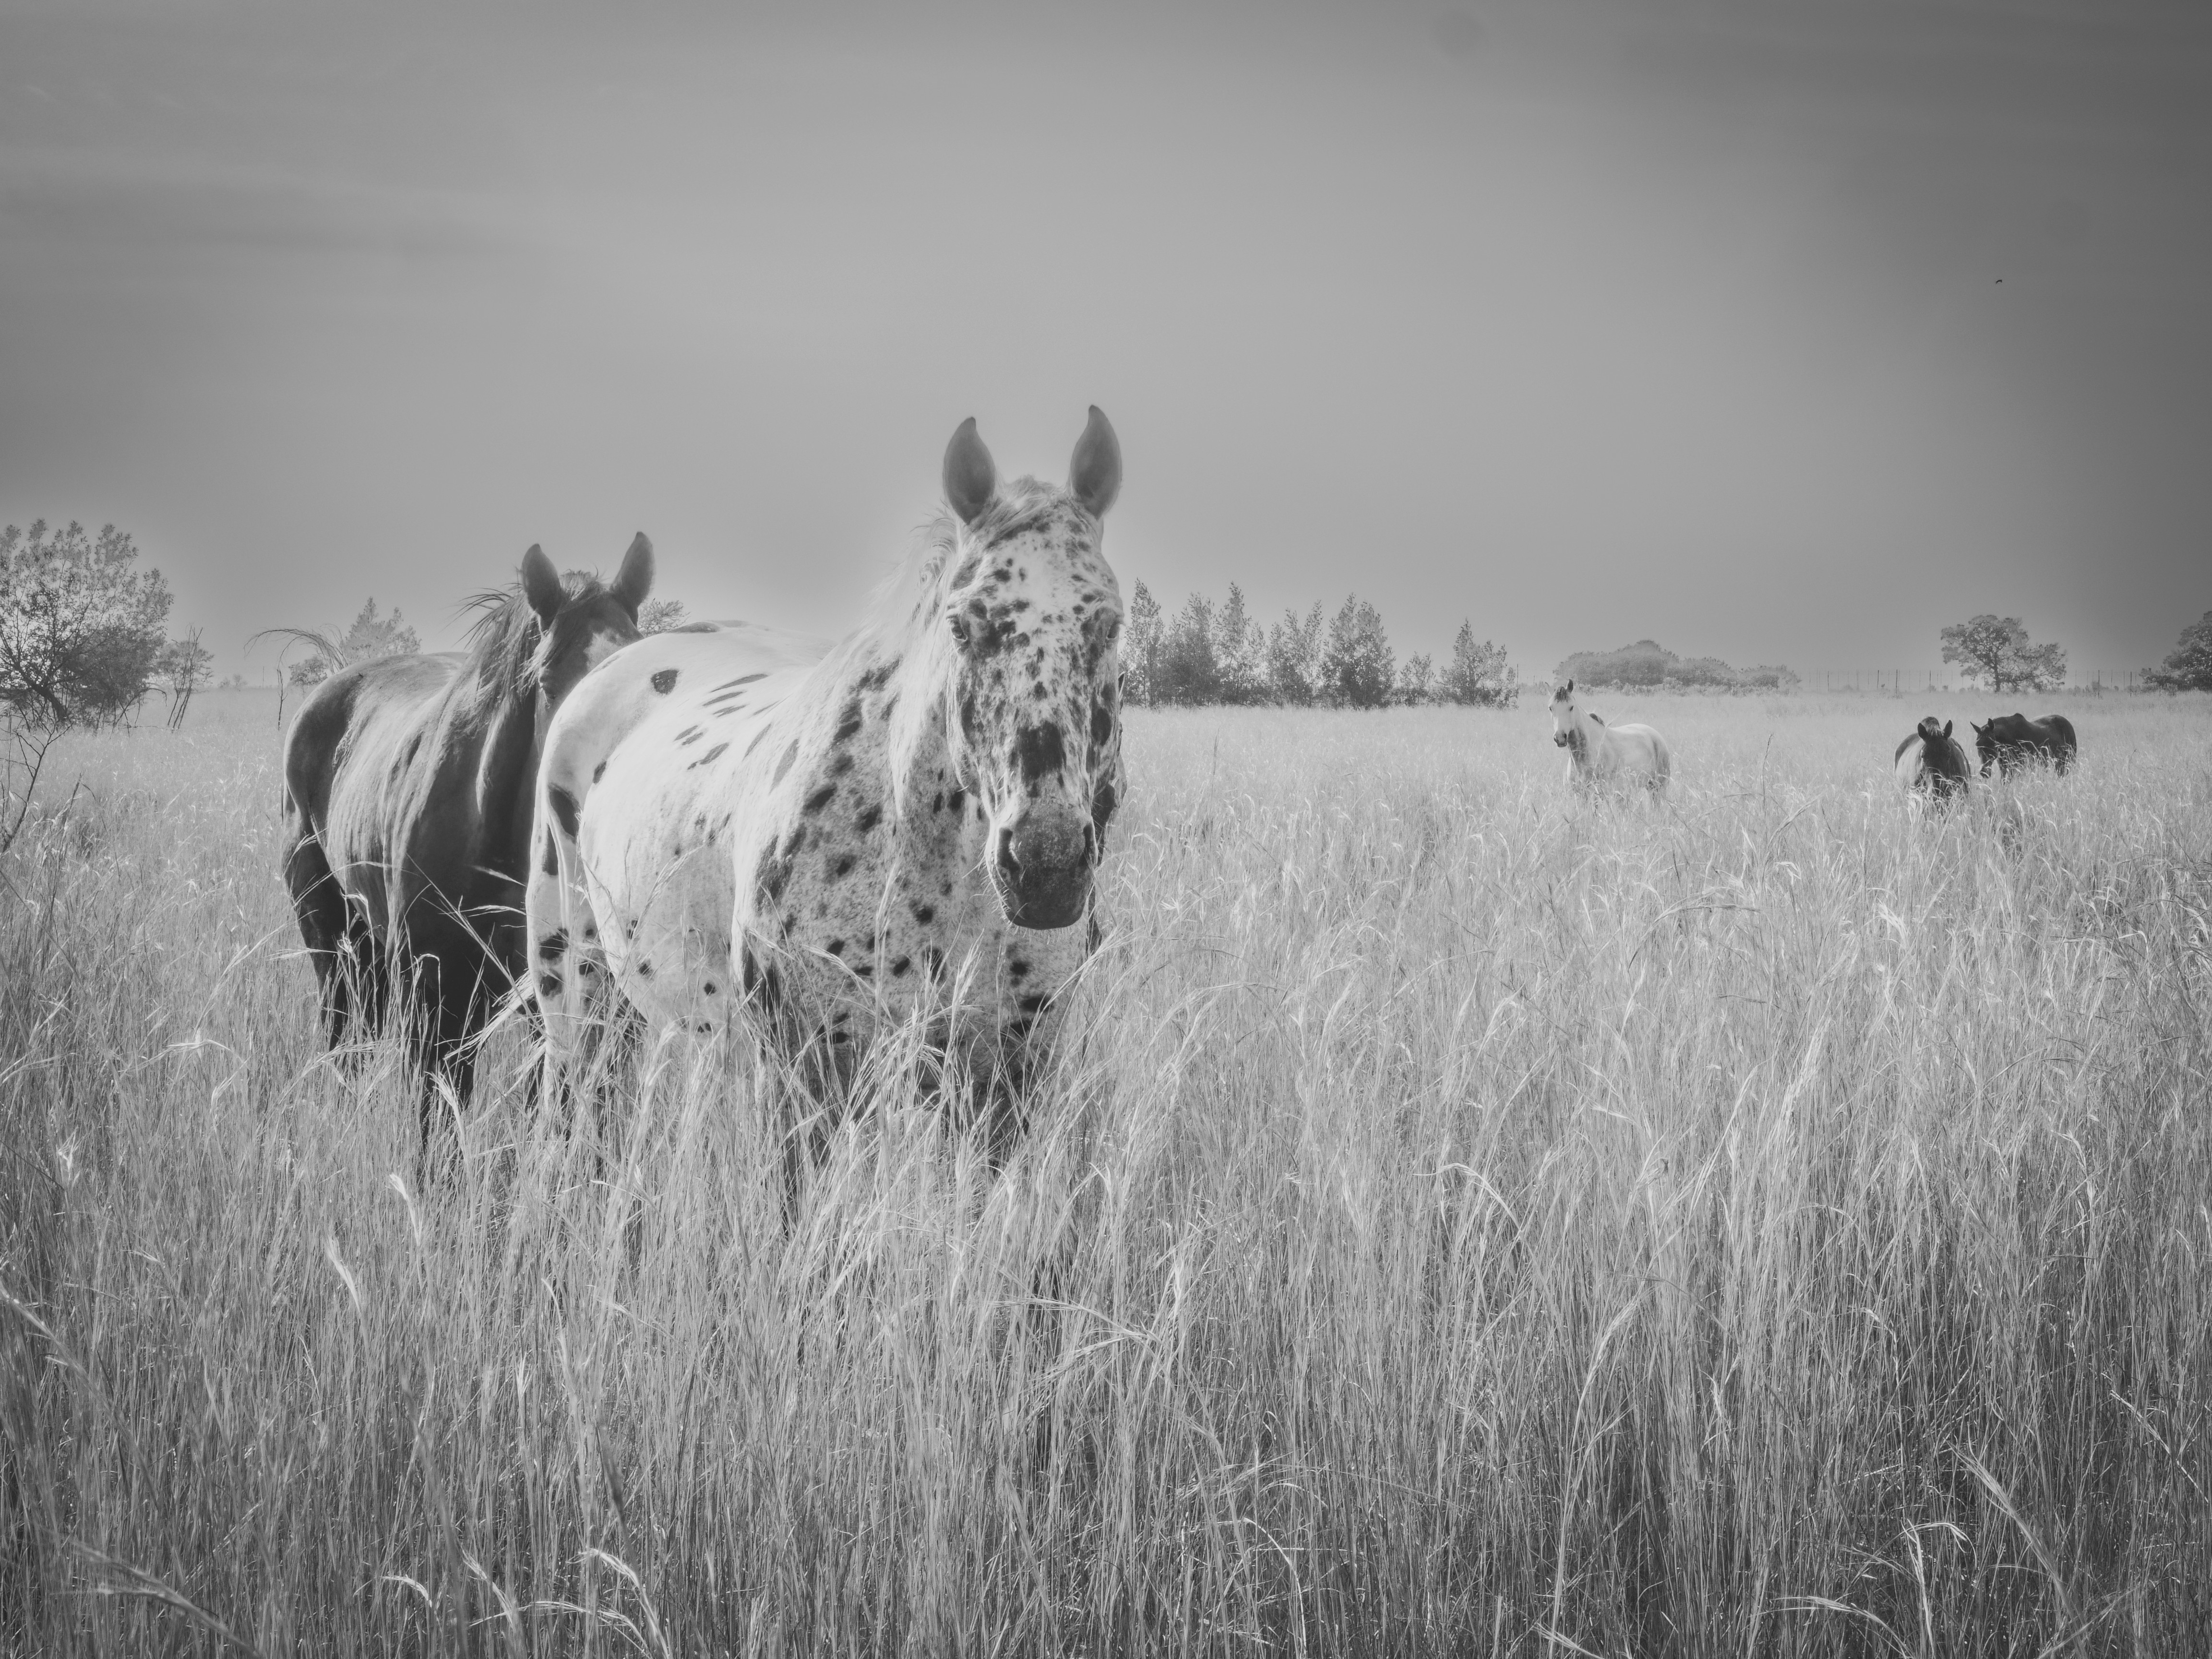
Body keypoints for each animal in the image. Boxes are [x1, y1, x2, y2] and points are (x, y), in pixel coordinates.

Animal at [528, 409, 1126, 1150]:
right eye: (962, 626)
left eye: (1110, 624)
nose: (1046, 865)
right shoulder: (808, 1081)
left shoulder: (1006, 1082)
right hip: (572, 993)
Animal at [1972, 712, 2076, 777]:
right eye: (1977, 745)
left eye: (1992, 743)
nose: (1984, 773)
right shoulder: (2005, 767)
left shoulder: (2020, 765)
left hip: (2069, 759)